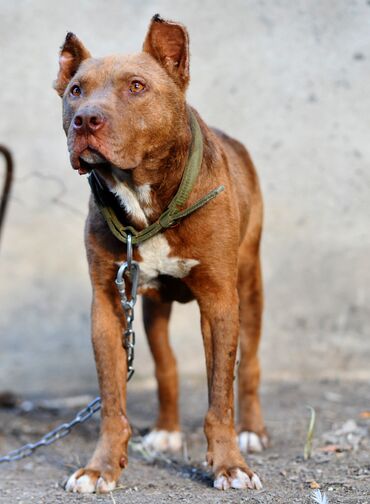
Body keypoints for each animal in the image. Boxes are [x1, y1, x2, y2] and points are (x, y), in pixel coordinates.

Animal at [55, 13, 268, 494]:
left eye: (136, 86)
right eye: (76, 90)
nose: (85, 120)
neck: (146, 200)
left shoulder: (220, 300)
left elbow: (220, 395)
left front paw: (230, 464)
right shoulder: (110, 304)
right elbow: (113, 401)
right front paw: (102, 467)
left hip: (250, 281)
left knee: (249, 364)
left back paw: (253, 430)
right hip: (150, 309)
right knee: (167, 366)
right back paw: (168, 429)